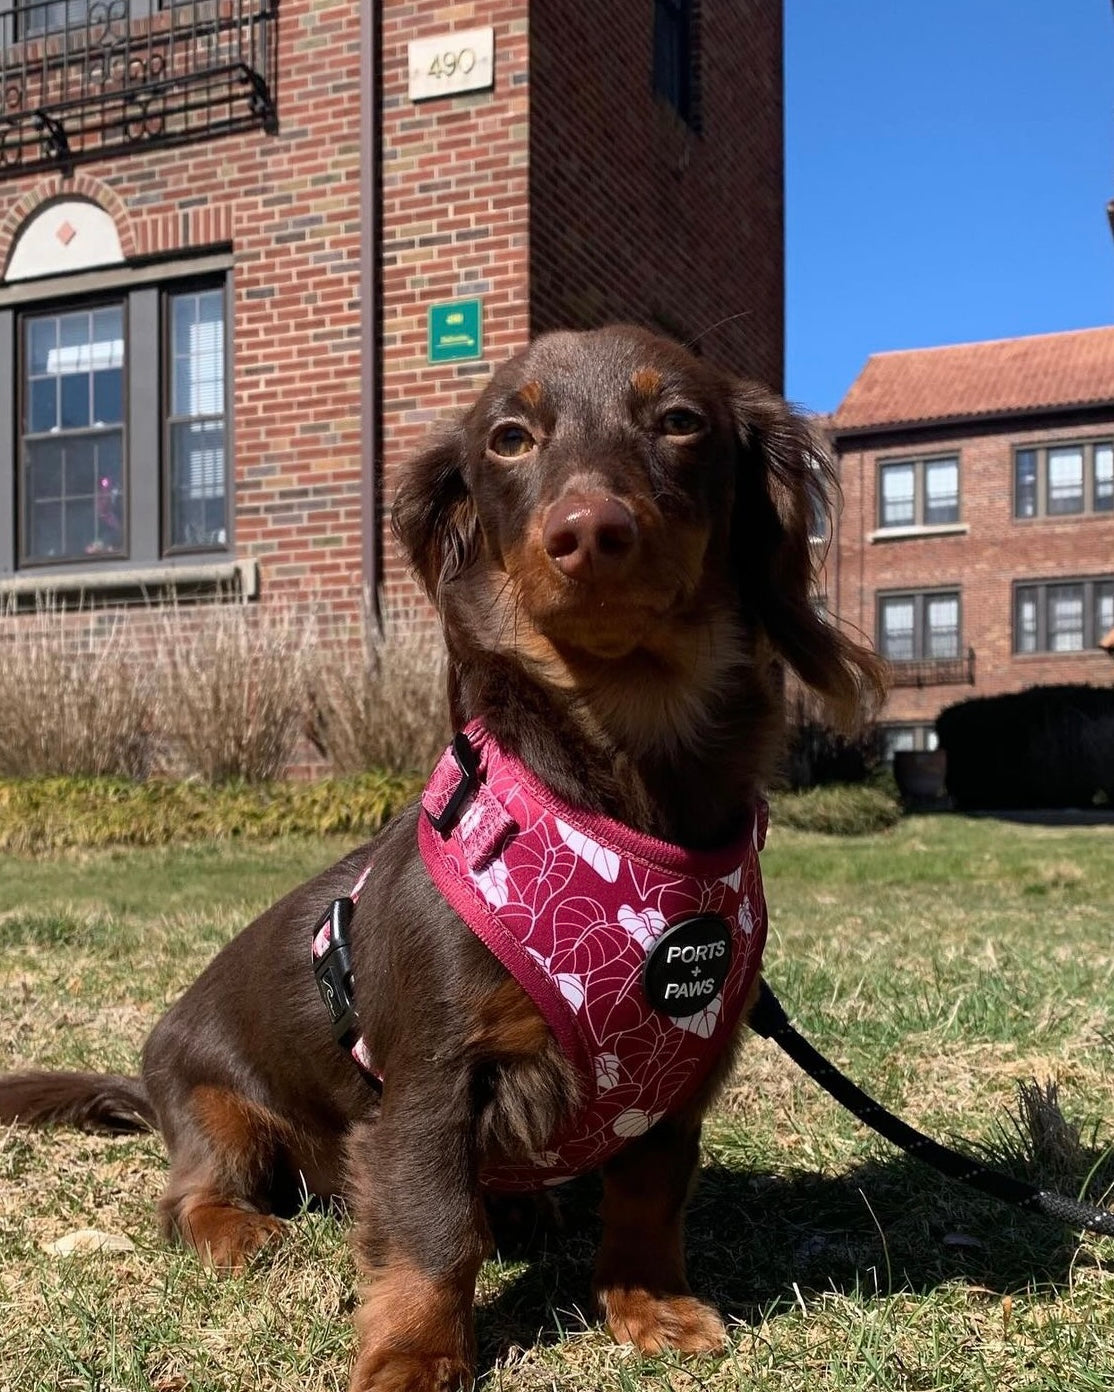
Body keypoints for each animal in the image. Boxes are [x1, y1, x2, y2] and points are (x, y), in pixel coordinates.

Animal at [0, 328, 885, 1392]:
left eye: (680, 421)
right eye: (508, 437)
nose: (589, 531)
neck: (621, 793)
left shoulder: (678, 1078)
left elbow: (647, 1198)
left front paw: (650, 1305)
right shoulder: (430, 1078)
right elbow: (431, 1227)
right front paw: (414, 1354)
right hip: (219, 1112)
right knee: (192, 1197)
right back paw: (242, 1231)